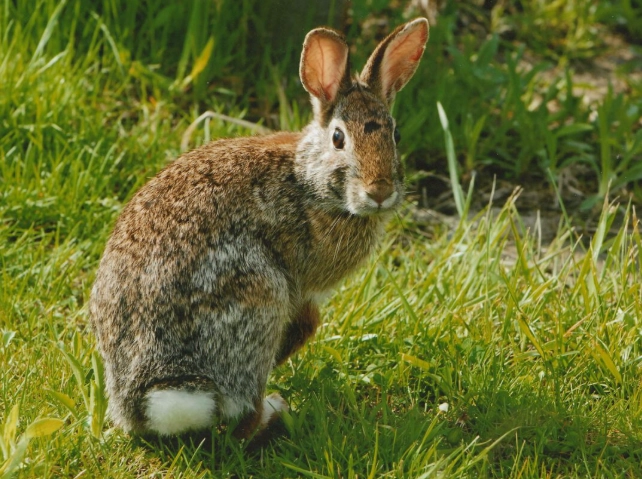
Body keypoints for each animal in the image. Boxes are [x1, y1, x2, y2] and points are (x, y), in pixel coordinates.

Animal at [89, 17, 429, 438]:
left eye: (395, 135)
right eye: (338, 138)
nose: (379, 191)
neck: (307, 182)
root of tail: (143, 402)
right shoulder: (301, 285)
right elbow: (308, 321)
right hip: (257, 297)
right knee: (243, 414)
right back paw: (275, 410)